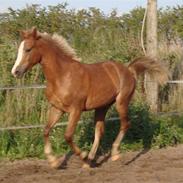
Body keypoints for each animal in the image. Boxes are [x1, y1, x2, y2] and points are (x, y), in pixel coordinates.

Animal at [11, 27, 169, 169]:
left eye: (28, 49)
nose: (15, 71)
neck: (62, 75)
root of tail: (129, 70)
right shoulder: (57, 109)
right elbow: (46, 130)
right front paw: (54, 161)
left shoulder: (76, 110)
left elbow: (68, 135)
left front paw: (82, 155)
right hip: (102, 107)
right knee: (99, 131)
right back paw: (90, 161)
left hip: (121, 102)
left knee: (125, 124)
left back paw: (114, 154)